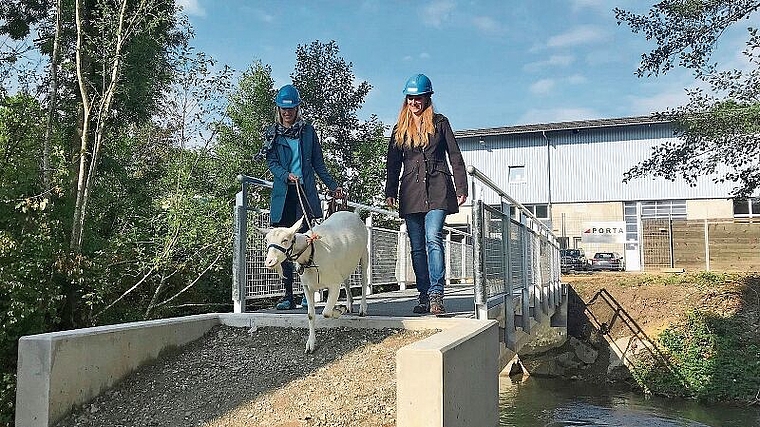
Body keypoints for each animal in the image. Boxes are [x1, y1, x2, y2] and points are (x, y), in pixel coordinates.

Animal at [258, 211, 372, 354]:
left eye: (285, 240)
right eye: (267, 240)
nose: (270, 262)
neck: (311, 253)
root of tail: (352, 213)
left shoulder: (334, 283)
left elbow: (326, 312)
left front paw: (339, 310)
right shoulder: (307, 287)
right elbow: (311, 315)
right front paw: (310, 344)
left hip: (364, 252)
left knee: (364, 280)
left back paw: (362, 308)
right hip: (344, 265)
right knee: (346, 281)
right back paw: (350, 303)